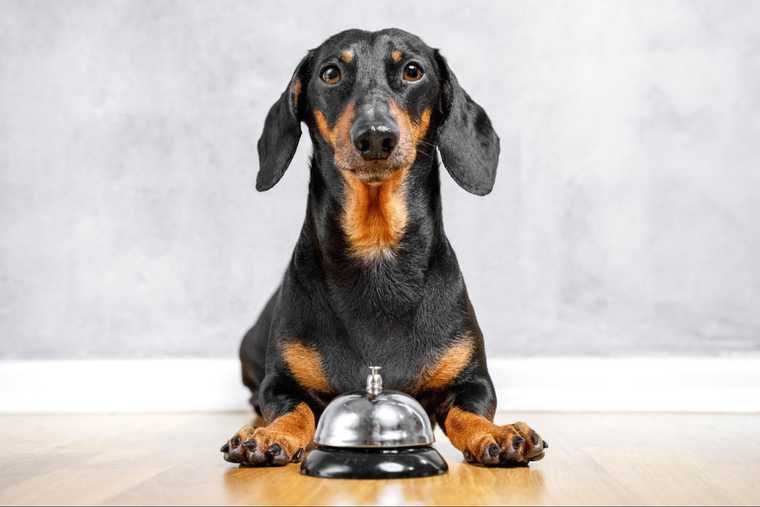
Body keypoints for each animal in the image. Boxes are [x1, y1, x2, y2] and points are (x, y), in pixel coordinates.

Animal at [220, 28, 548, 468]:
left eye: (412, 70)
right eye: (330, 73)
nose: (375, 136)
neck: (376, 250)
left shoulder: (474, 382)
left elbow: (470, 412)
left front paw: (497, 433)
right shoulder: (280, 383)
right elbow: (294, 408)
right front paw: (271, 436)